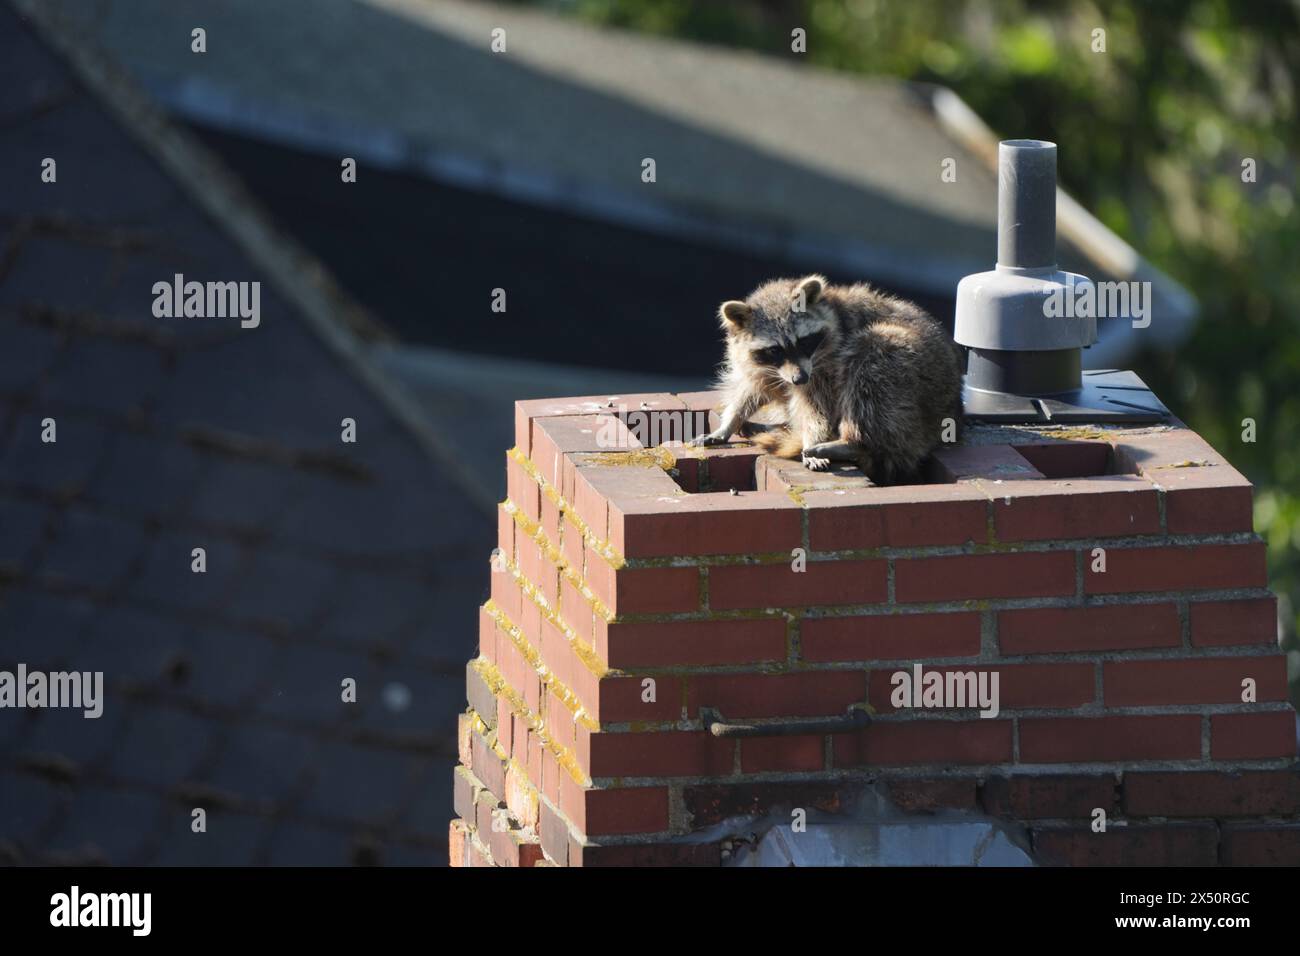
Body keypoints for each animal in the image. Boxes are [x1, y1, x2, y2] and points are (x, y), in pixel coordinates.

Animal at [691, 274, 967, 486]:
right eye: (775, 350)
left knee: (873, 357)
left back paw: (852, 442)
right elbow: (752, 388)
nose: (799, 378)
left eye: (803, 341)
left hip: (920, 379)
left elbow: (817, 407)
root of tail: (955, 409)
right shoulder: (765, 366)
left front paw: (814, 436)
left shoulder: (828, 365)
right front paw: (729, 422)